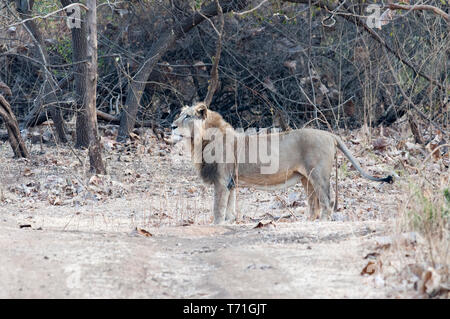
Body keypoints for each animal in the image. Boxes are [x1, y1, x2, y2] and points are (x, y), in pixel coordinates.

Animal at [172, 102, 394, 225]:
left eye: (187, 116)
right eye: (180, 114)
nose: (171, 125)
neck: (200, 140)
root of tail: (330, 135)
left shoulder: (221, 180)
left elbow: (217, 208)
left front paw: (216, 225)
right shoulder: (231, 182)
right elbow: (229, 208)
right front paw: (229, 222)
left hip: (318, 175)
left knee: (327, 201)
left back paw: (322, 223)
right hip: (306, 179)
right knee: (314, 205)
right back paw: (307, 223)